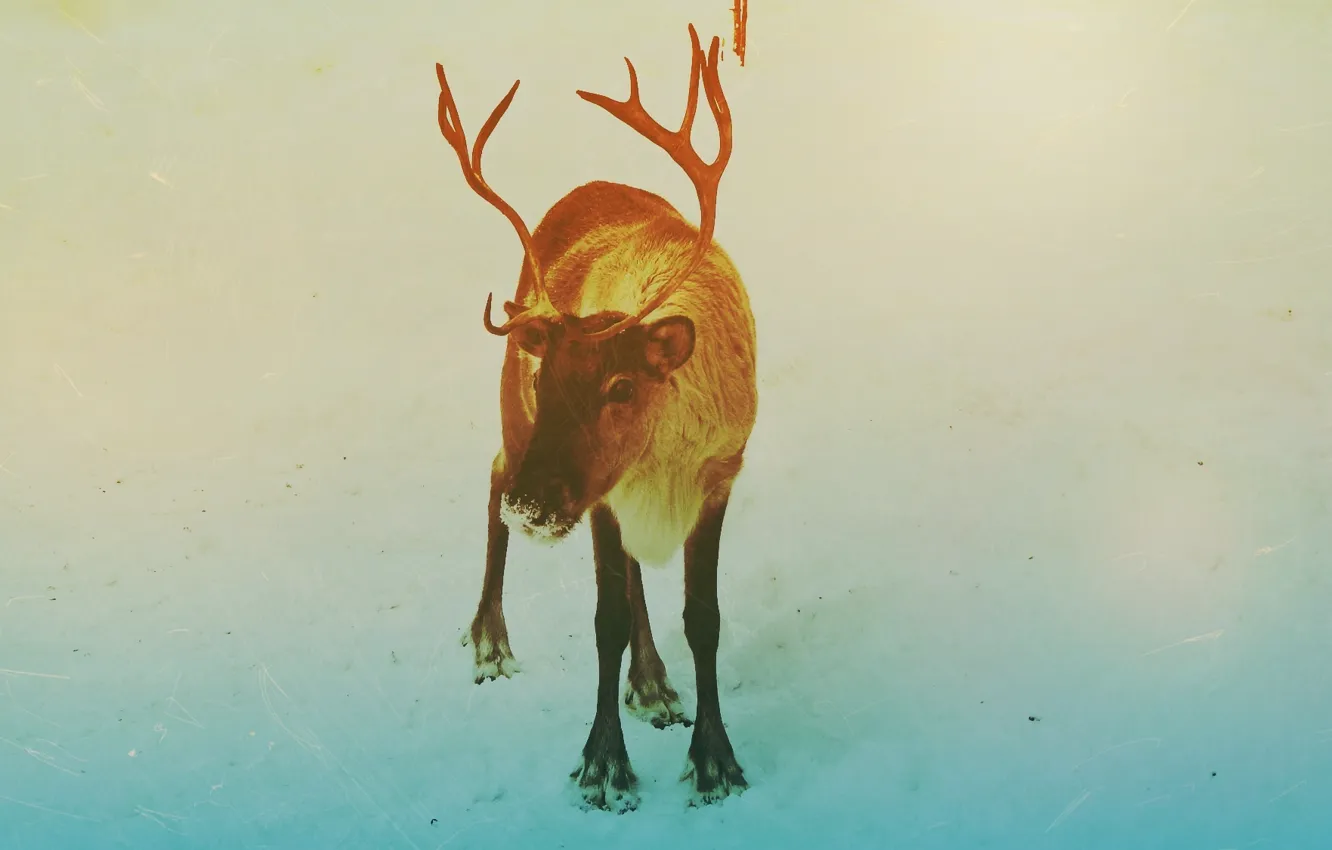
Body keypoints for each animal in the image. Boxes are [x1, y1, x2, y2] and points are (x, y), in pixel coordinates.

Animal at [435, 23, 757, 812]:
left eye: (620, 385)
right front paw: (603, 764)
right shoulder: (598, 490)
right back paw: (490, 639)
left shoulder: (718, 475)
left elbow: (701, 616)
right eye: (546, 377)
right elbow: (604, 618)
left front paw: (714, 759)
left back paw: (654, 684)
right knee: (494, 469)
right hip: (515, 421)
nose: (534, 505)